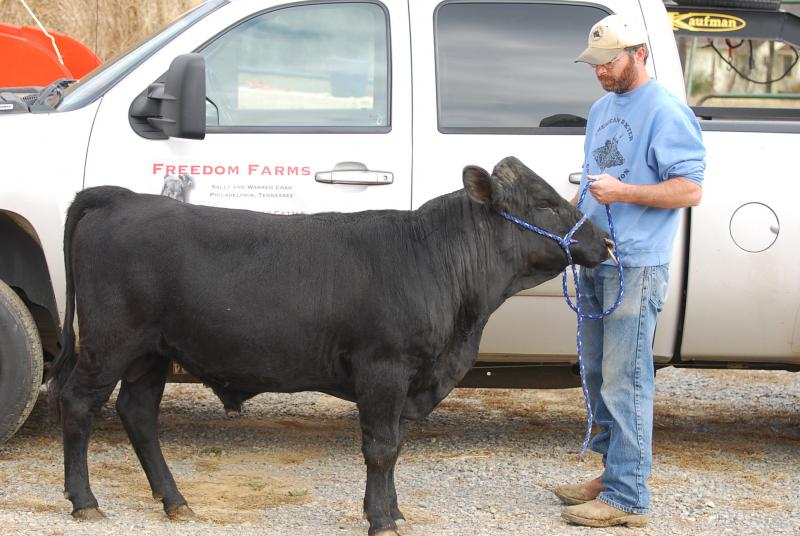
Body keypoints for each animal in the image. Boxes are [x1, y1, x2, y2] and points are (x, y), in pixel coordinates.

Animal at [48, 157, 611, 535]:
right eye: (545, 203)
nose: (604, 242)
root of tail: (122, 197)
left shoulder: (408, 379)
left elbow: (395, 445)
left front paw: (393, 510)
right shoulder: (384, 368)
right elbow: (381, 447)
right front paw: (380, 518)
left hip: (152, 352)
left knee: (138, 413)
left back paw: (174, 500)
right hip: (110, 341)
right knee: (76, 403)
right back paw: (84, 500)